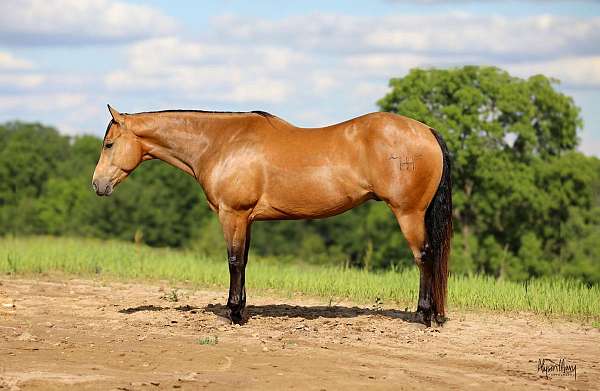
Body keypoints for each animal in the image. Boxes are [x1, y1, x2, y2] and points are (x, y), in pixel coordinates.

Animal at [92, 105, 450, 328]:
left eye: (109, 144)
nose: (98, 184)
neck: (221, 143)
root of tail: (427, 131)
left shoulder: (232, 215)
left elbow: (234, 261)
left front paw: (232, 314)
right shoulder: (247, 219)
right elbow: (244, 262)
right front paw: (240, 308)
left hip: (409, 213)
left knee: (424, 257)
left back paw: (423, 316)